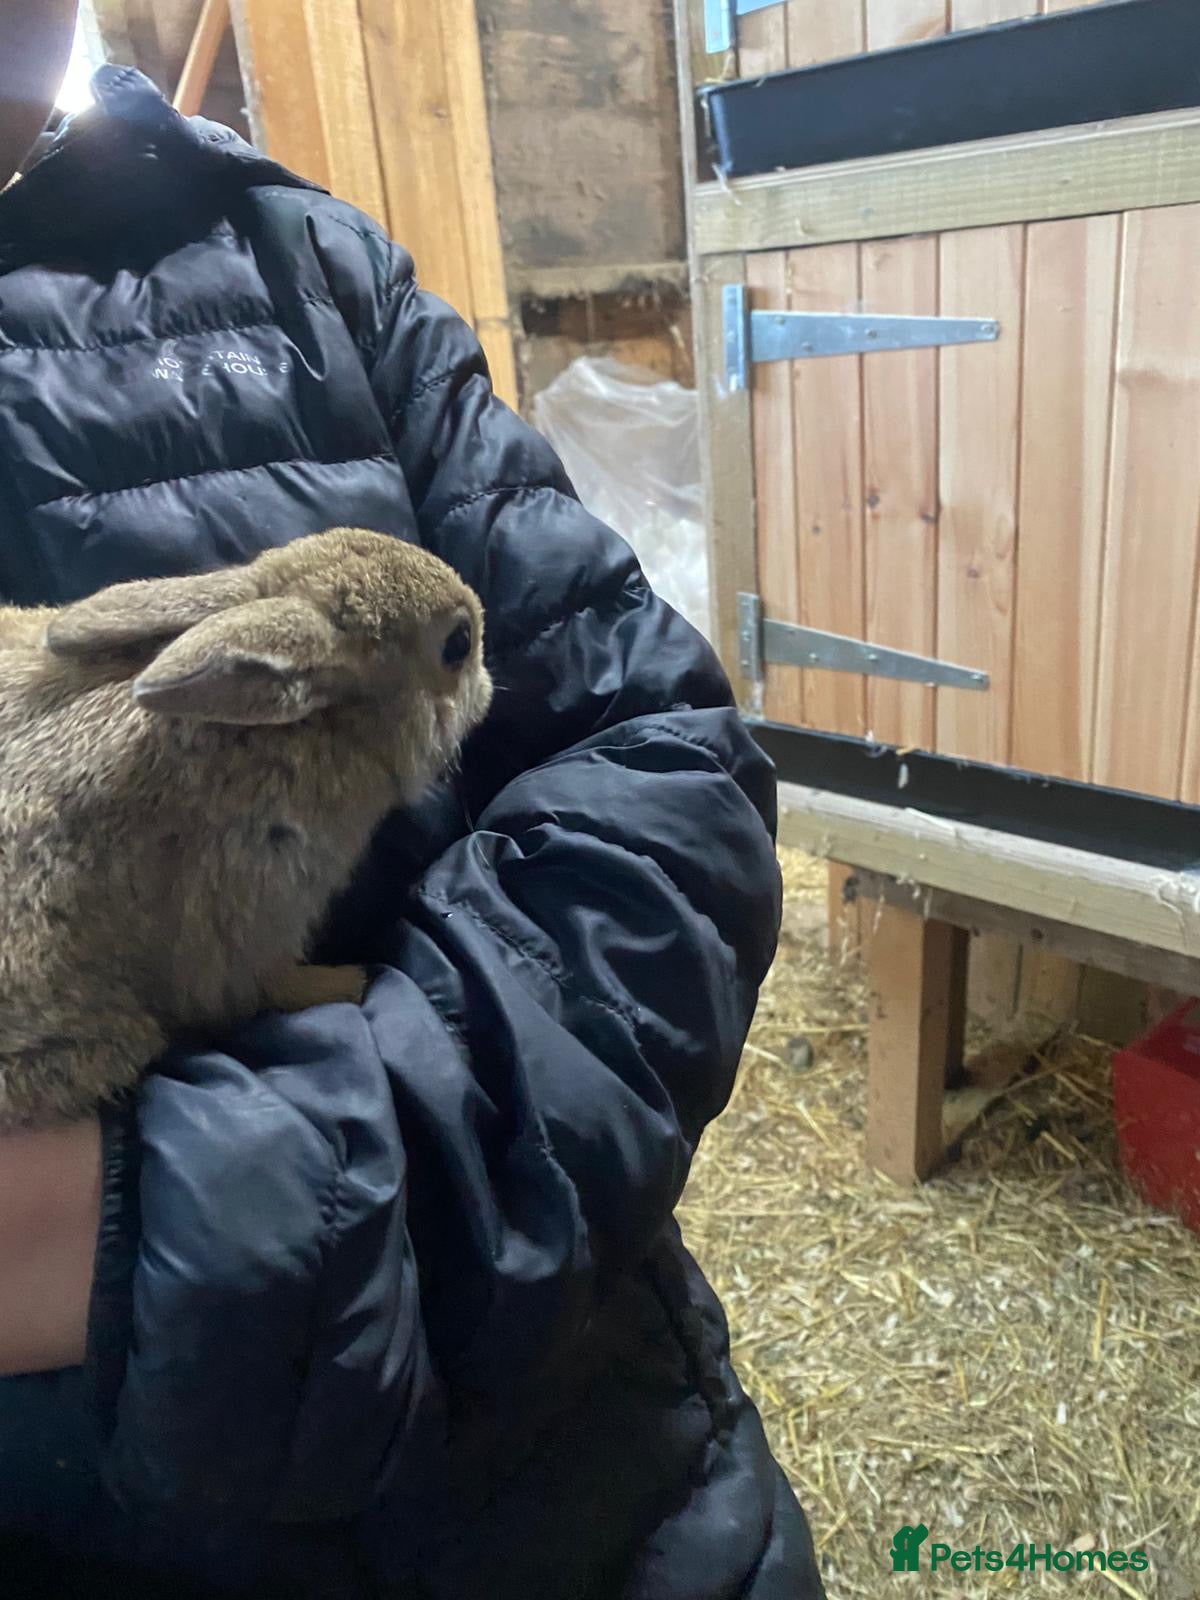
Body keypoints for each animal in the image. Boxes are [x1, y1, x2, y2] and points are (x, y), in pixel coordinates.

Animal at [0, 528, 492, 1131]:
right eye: (457, 644)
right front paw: (350, 983)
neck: (324, 725)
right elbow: (266, 985)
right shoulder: (258, 916)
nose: (488, 686)